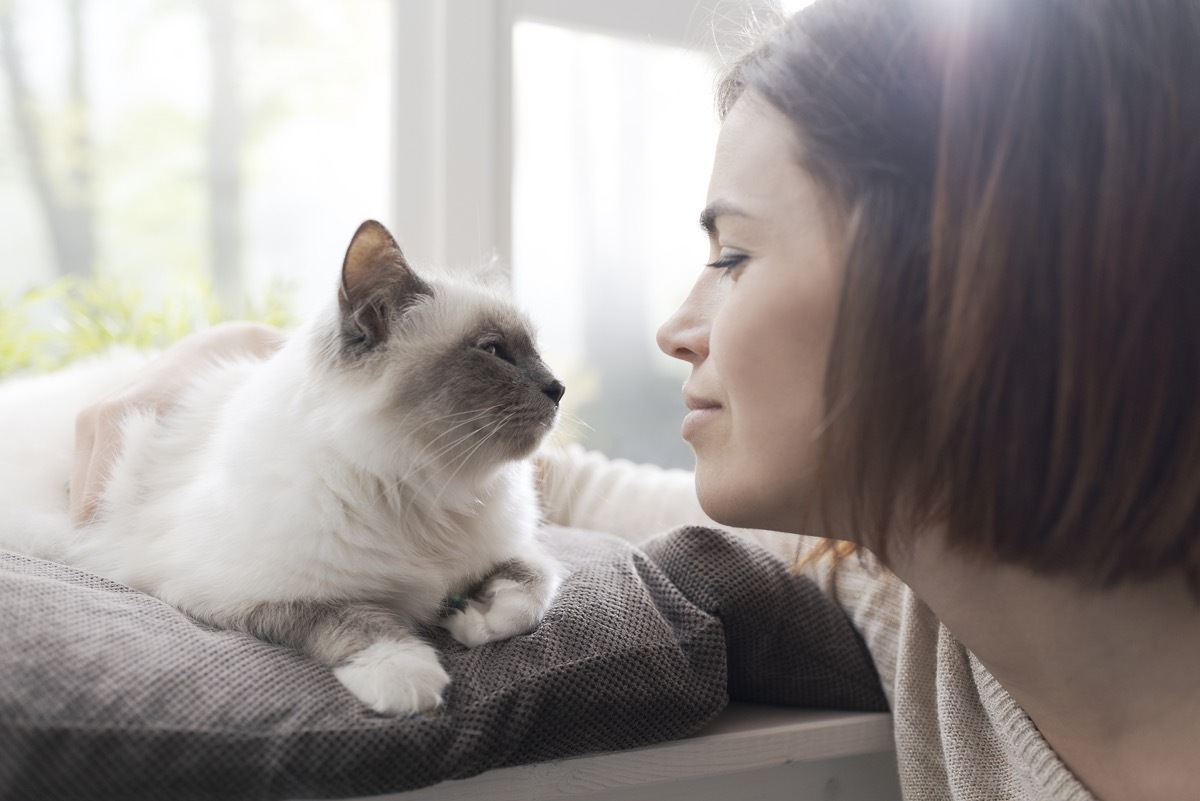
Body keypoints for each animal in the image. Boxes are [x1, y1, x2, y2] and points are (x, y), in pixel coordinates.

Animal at [0, 219, 566, 714]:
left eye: (536, 351)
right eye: (494, 350)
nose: (558, 388)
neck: (425, 489)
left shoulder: (508, 551)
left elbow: (530, 592)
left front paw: (474, 622)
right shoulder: (249, 594)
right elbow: (356, 620)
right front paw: (408, 676)